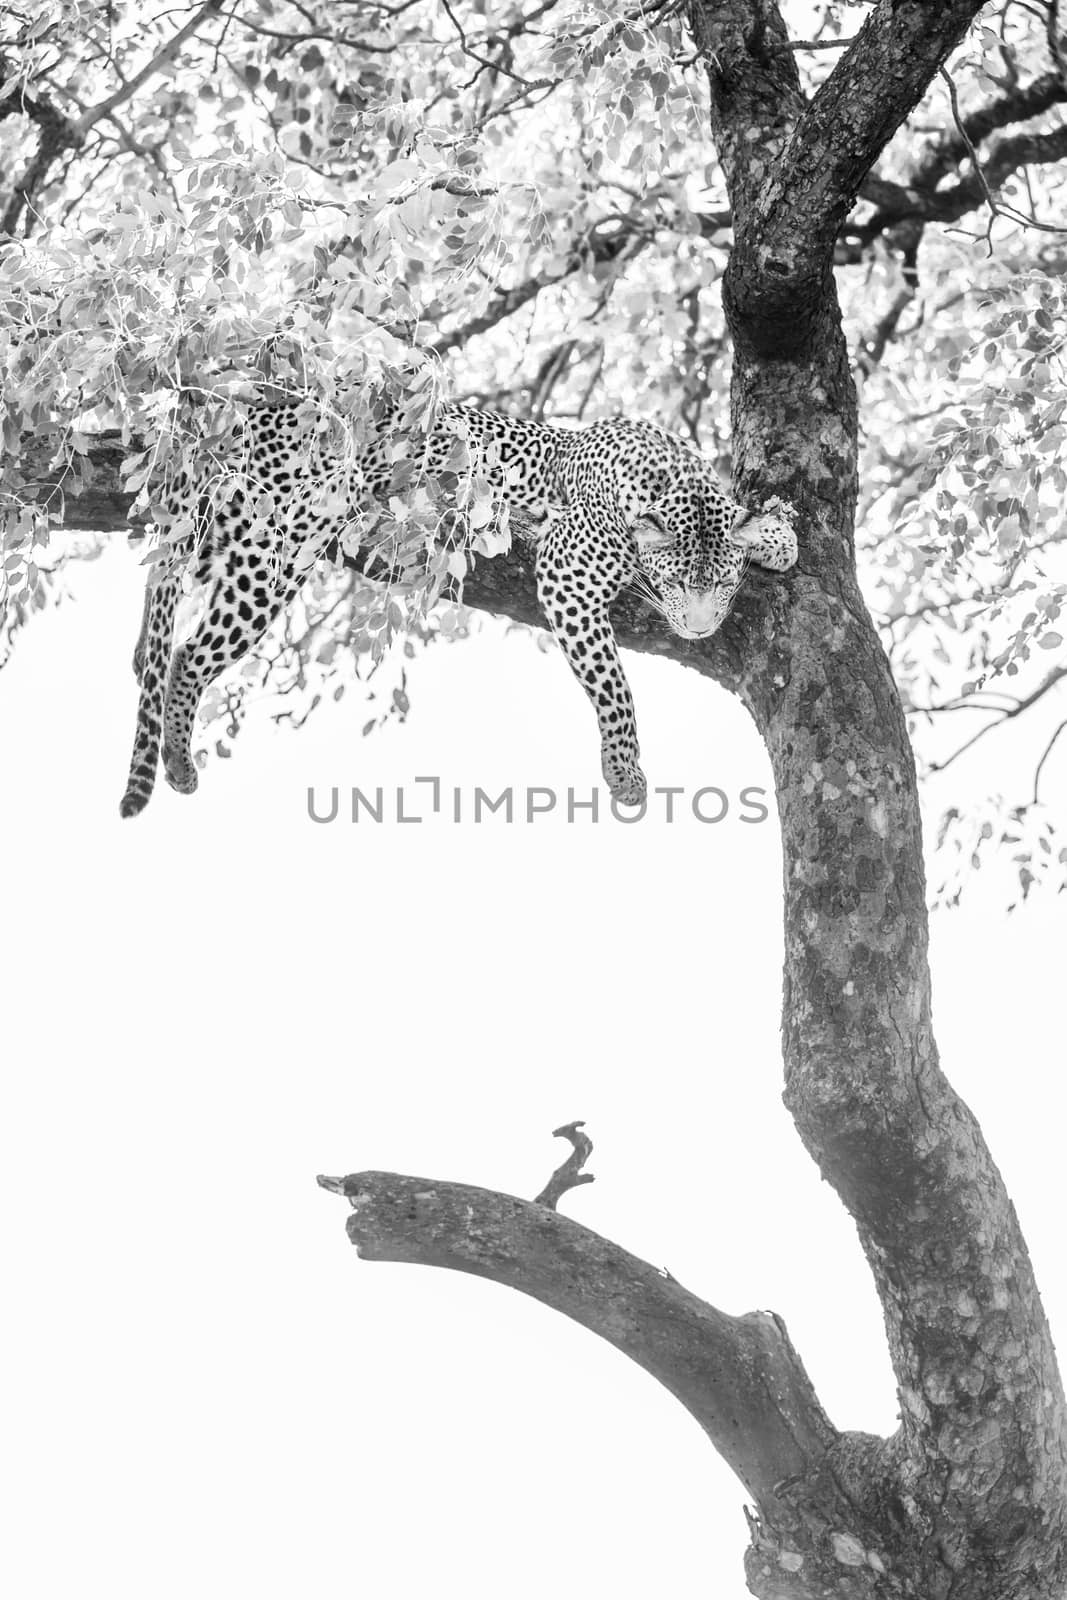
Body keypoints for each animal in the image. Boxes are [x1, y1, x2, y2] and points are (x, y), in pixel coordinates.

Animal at [120, 395, 796, 819]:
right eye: (679, 584)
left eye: (724, 587)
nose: (701, 631)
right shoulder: (567, 576)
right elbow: (614, 686)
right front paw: (625, 773)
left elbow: (759, 529)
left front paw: (778, 535)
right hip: (281, 543)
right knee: (187, 653)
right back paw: (178, 759)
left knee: (160, 612)